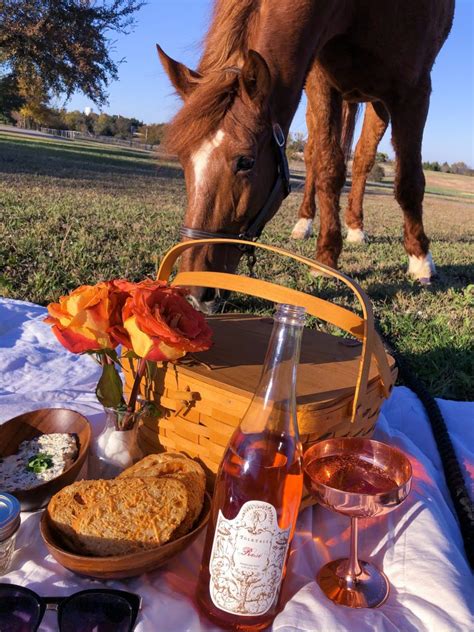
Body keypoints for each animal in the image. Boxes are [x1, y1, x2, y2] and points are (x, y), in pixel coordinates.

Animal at [159, 0, 456, 312]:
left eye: (245, 162)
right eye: (184, 161)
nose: (192, 293)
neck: (359, 9)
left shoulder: (412, 91)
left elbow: (409, 182)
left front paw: (420, 259)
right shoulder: (321, 85)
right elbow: (328, 168)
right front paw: (326, 258)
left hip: (378, 104)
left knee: (363, 160)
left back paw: (356, 227)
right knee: (315, 156)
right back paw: (306, 222)